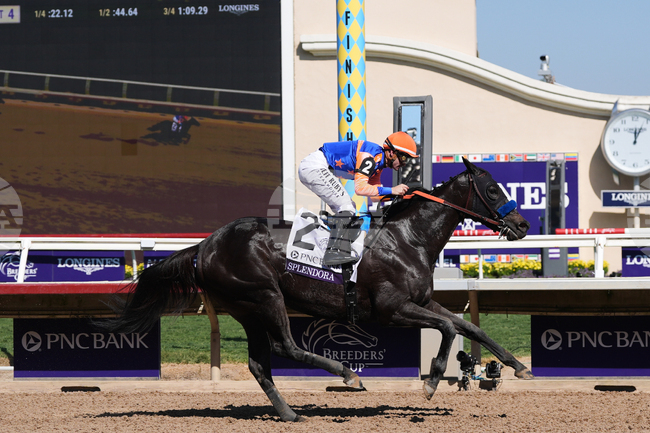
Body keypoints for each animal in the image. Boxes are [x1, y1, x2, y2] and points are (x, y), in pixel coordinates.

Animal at [100, 158, 533, 422]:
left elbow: (467, 326)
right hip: (264, 296)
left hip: (246, 308)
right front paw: (430, 383)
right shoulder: (392, 308)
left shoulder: (421, 300)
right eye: (492, 190)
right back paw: (348, 375)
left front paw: (517, 365)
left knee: (260, 363)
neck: (408, 237)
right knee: (286, 347)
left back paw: (290, 413)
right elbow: (446, 329)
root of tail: (204, 246)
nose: (523, 225)